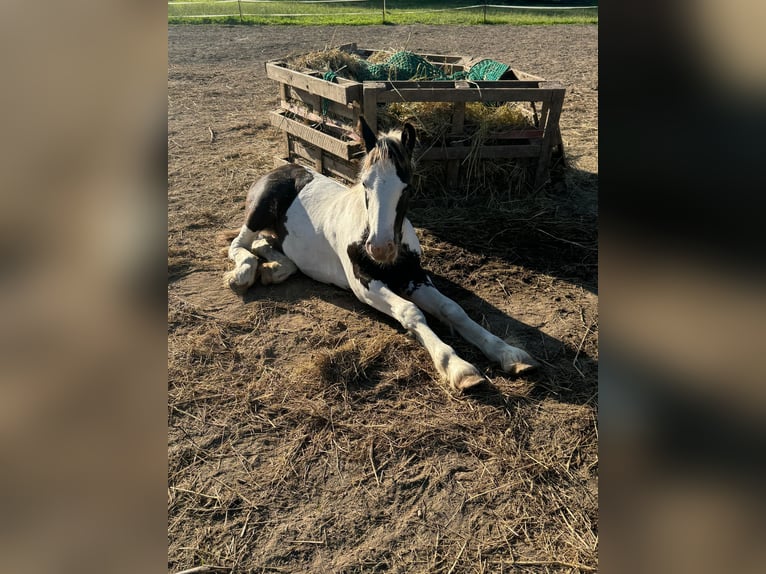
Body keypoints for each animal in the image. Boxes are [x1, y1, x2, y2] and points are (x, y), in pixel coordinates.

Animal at [225, 117, 536, 392]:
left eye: (406, 186)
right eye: (365, 183)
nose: (379, 248)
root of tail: (282, 169)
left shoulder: (414, 276)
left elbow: (452, 309)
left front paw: (508, 353)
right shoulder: (364, 283)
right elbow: (411, 311)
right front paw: (458, 368)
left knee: (265, 245)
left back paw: (273, 269)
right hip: (258, 212)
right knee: (240, 244)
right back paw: (244, 274)